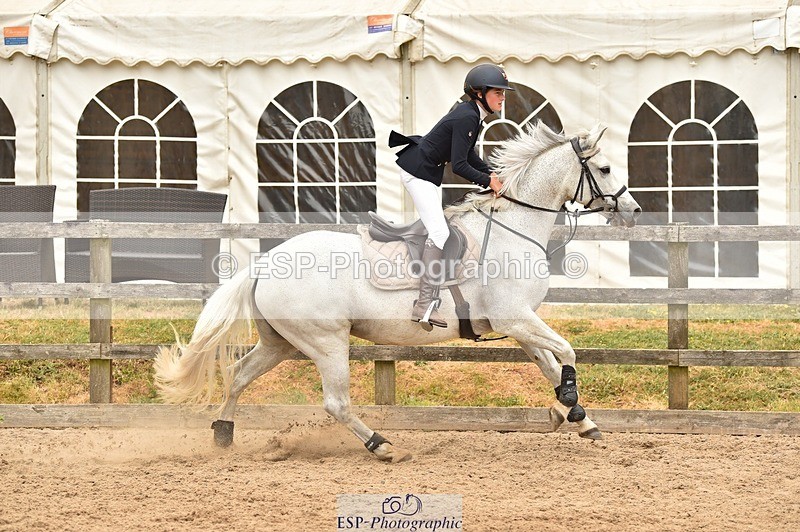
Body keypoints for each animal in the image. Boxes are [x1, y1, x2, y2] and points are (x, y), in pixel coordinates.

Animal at [154, 121, 641, 463]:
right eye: (604, 168)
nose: (634, 211)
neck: (513, 228)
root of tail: (263, 263)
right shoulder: (515, 316)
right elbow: (567, 352)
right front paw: (570, 406)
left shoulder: (518, 323)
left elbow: (549, 364)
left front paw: (578, 417)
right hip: (326, 342)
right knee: (335, 402)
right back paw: (383, 446)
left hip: (280, 343)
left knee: (238, 375)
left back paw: (223, 434)